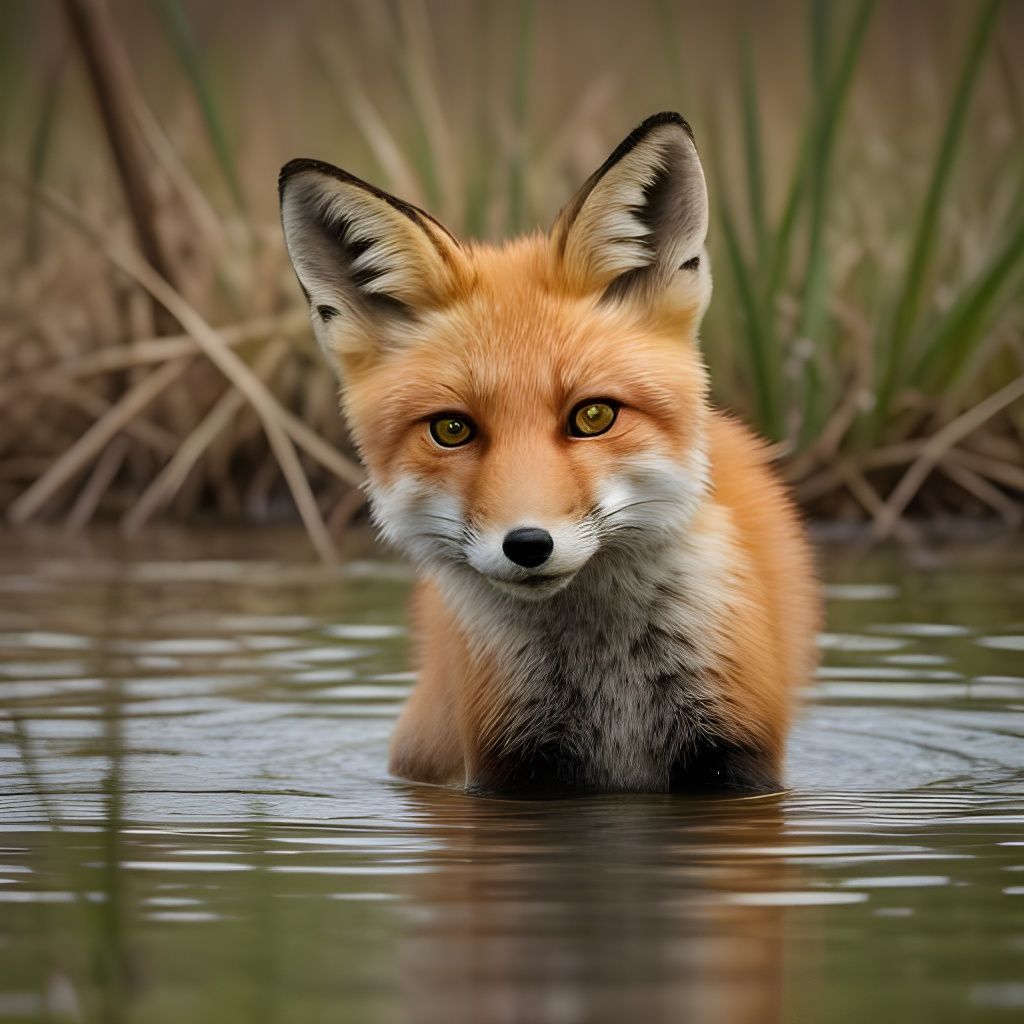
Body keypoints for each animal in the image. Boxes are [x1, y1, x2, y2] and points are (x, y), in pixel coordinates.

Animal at [279, 111, 819, 797]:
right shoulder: (510, 766)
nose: (529, 545)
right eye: (451, 429)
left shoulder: (738, 757)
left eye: (593, 415)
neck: (609, 677)